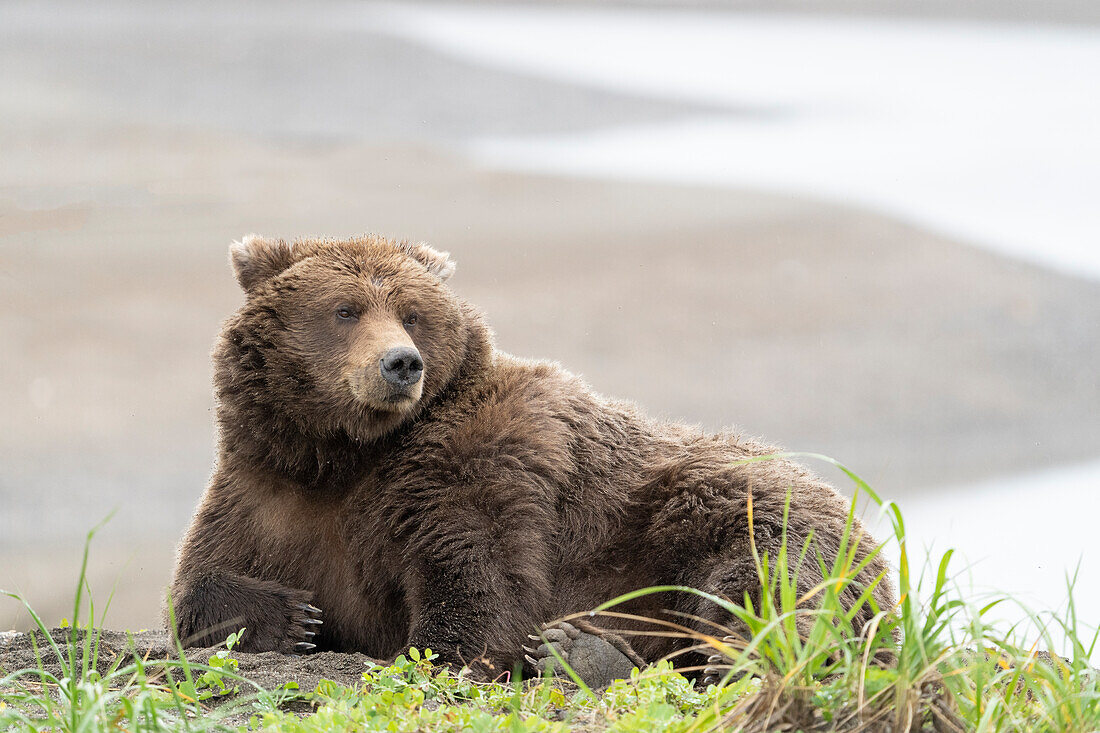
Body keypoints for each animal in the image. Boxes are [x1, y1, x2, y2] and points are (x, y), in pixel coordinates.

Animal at [169, 232, 893, 686]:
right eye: (344, 309)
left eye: (412, 311)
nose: (401, 363)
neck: (350, 453)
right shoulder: (269, 489)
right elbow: (198, 582)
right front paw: (291, 614)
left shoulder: (477, 463)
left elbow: (477, 587)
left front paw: (431, 654)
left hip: (742, 511)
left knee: (769, 583)